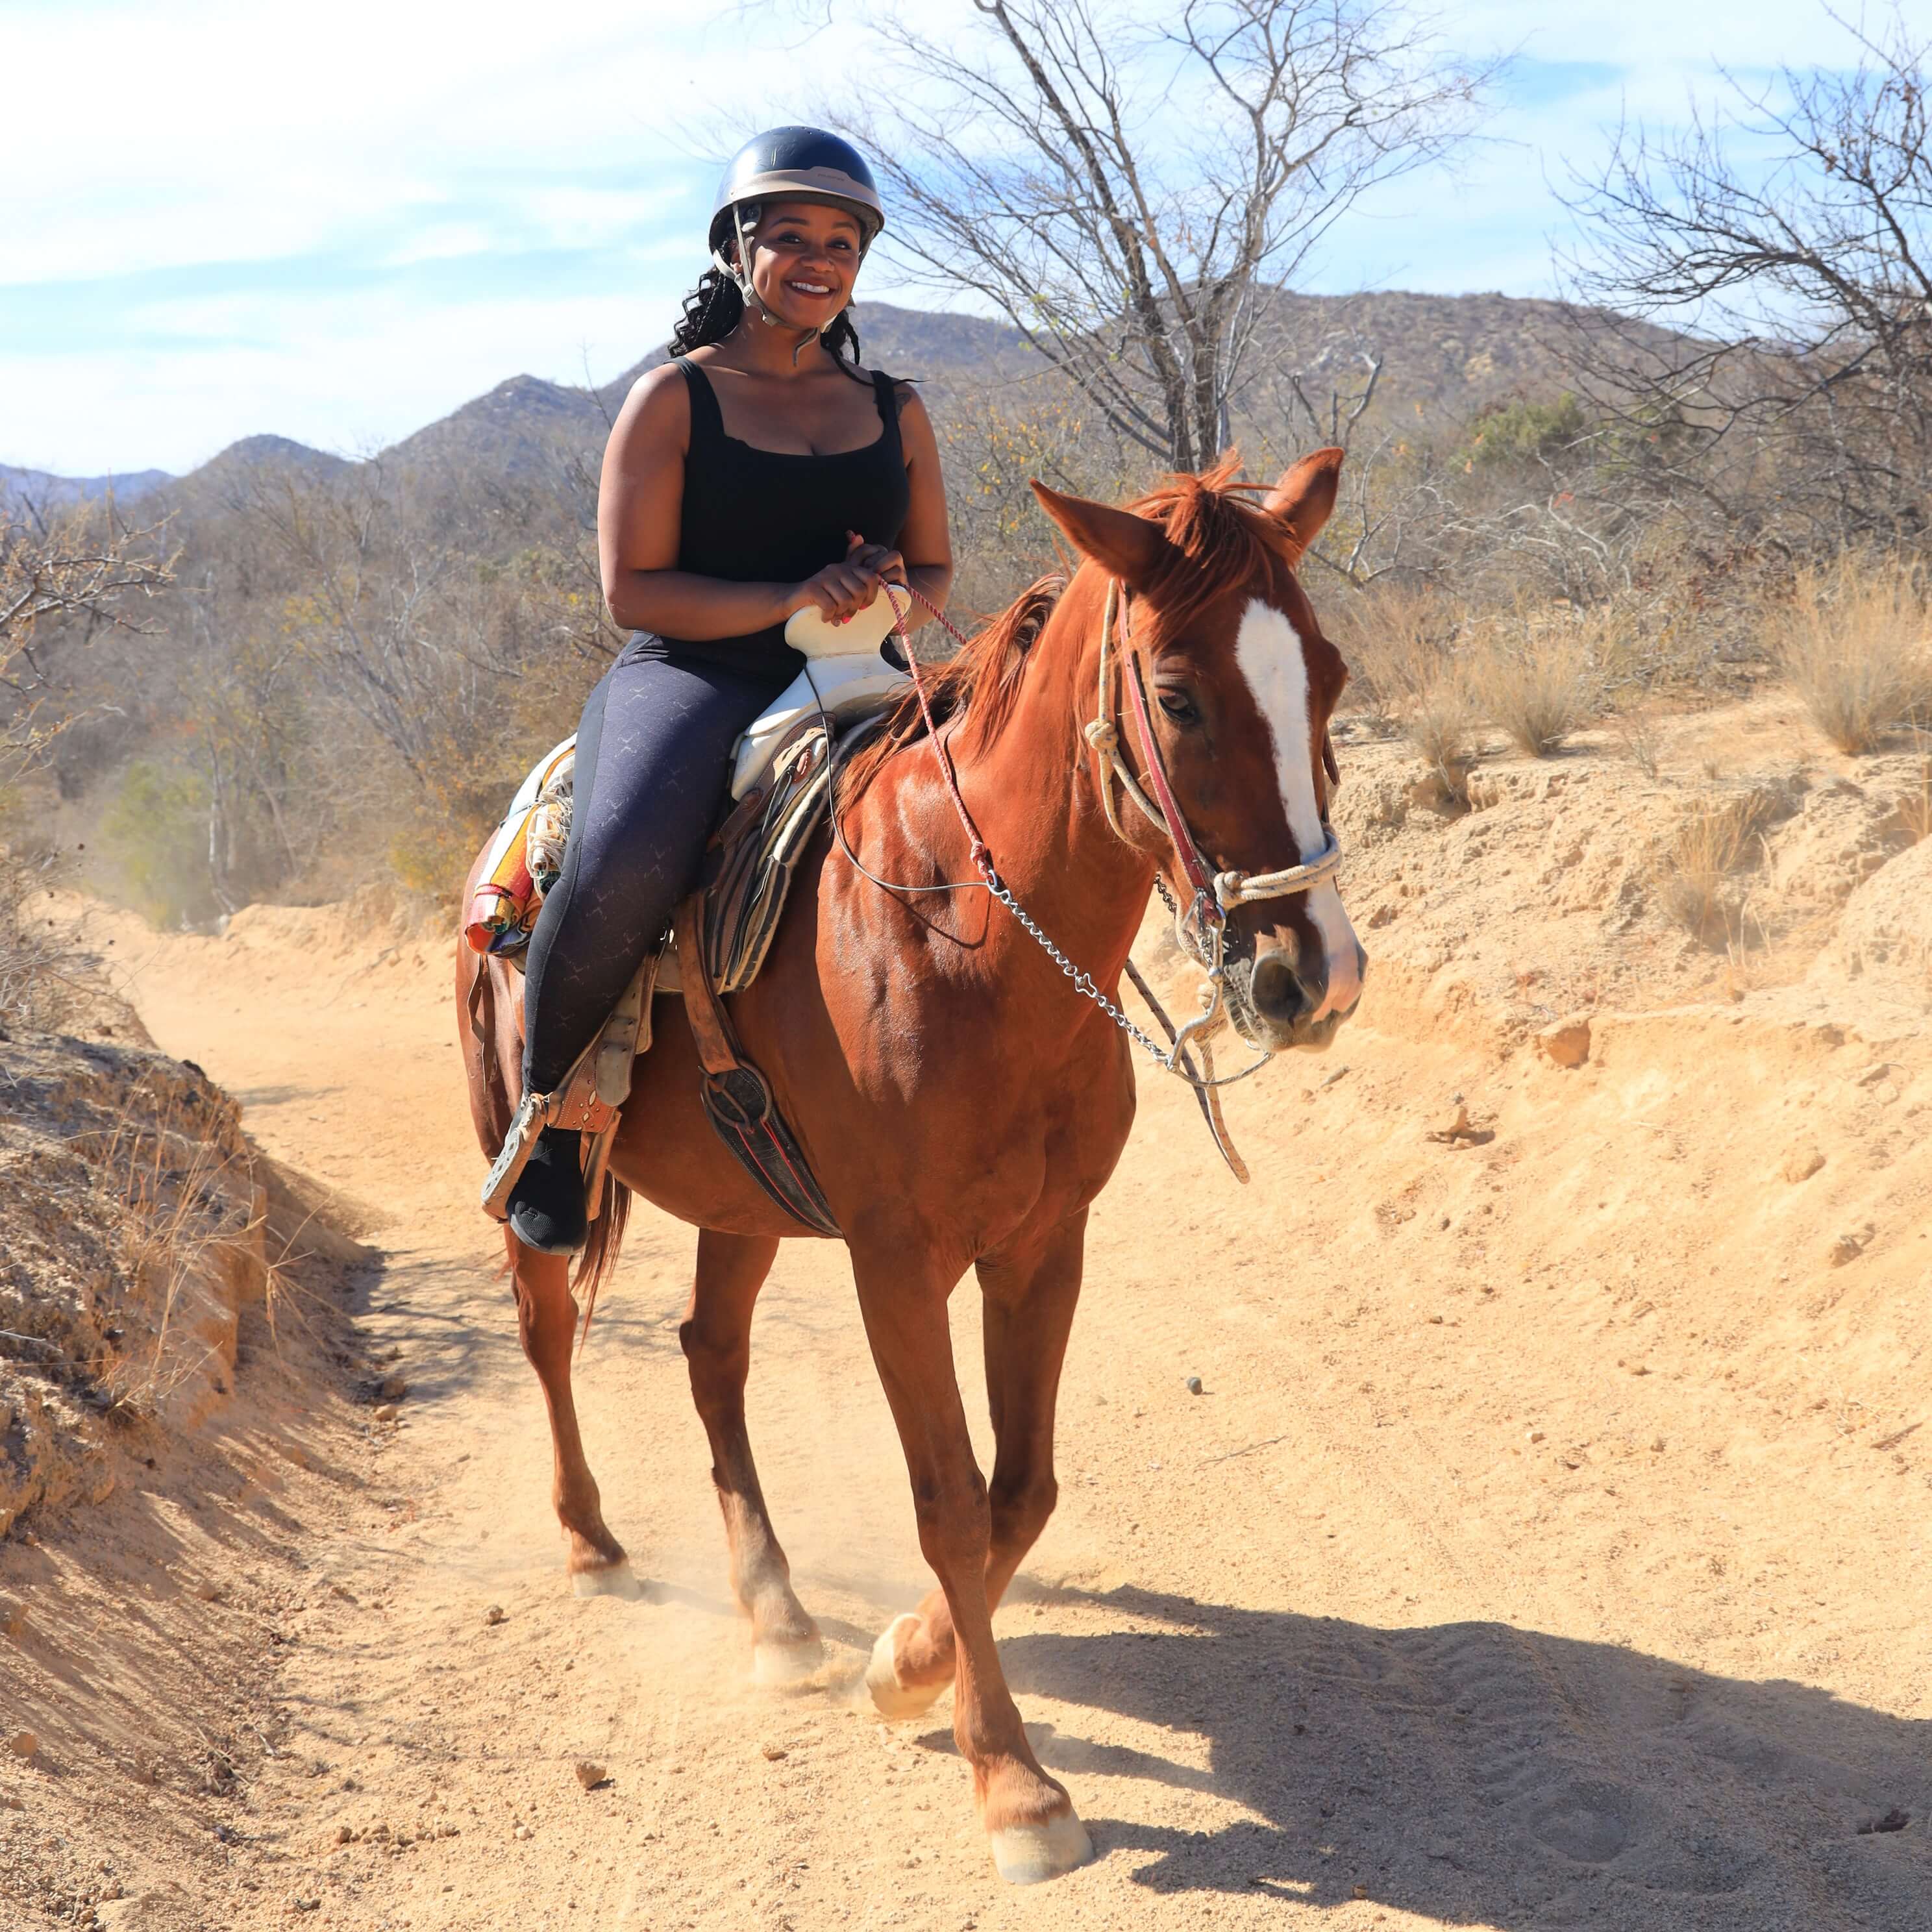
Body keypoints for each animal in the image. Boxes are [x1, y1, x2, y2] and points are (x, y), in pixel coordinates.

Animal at [454, 448, 1368, 1870]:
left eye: (1325, 676)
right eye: (1177, 699)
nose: (1311, 976)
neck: (965, 936)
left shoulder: (1044, 1245)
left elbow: (1020, 1491)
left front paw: (906, 1665)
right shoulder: (896, 1264)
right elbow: (946, 1499)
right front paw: (1014, 1783)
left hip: (744, 1204)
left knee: (711, 1355)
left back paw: (778, 1616)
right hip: (538, 1162)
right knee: (548, 1328)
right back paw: (593, 1540)